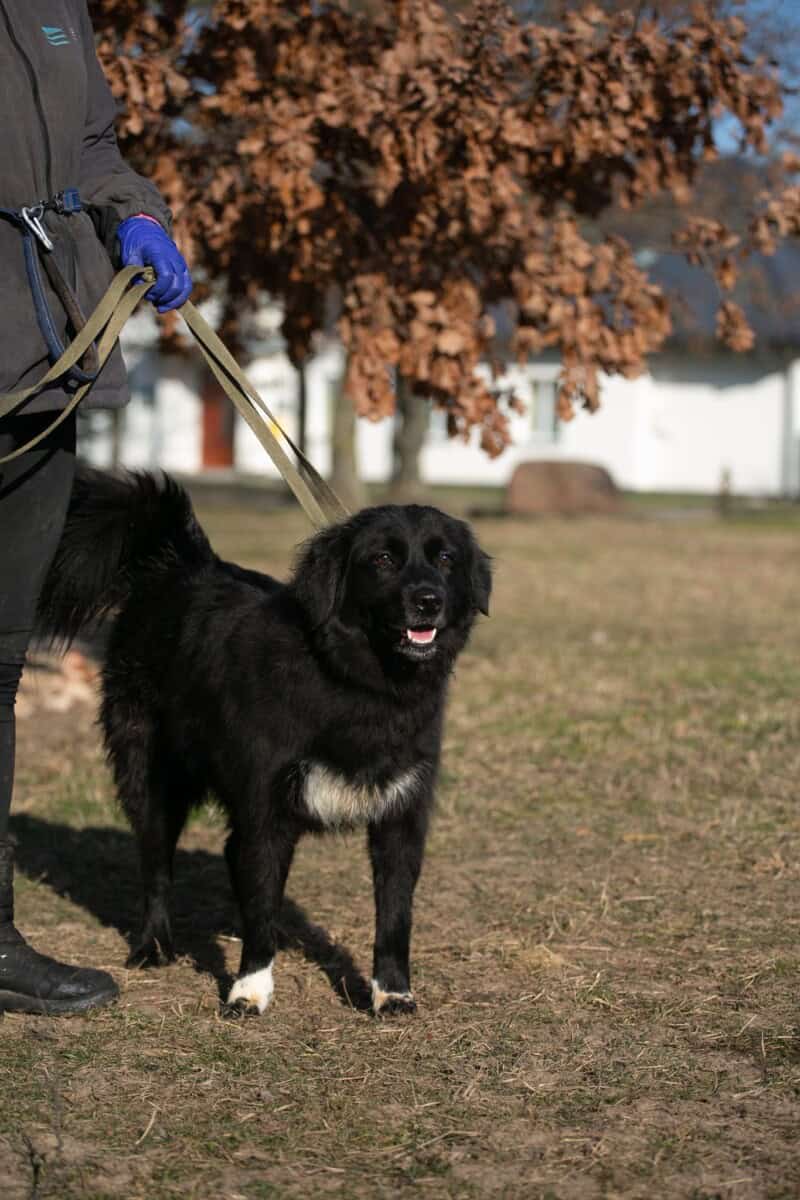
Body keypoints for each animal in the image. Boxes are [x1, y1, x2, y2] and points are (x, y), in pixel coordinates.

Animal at [38, 466, 491, 1016]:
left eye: (445, 558)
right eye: (383, 559)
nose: (428, 601)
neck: (358, 681)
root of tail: (178, 565)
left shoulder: (401, 815)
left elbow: (395, 914)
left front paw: (392, 991)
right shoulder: (264, 814)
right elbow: (259, 909)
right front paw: (249, 989)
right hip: (150, 775)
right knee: (156, 865)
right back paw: (154, 945)